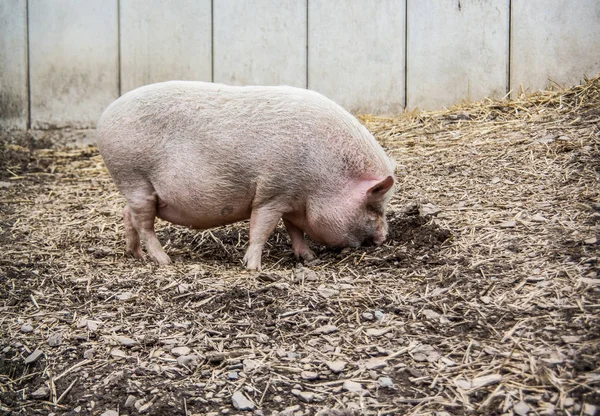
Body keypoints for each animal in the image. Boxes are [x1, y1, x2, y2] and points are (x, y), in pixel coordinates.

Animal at [96, 81, 396, 270]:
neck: (325, 175)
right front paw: (253, 268)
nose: (384, 238)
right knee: (144, 224)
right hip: (133, 176)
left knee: (128, 214)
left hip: (137, 188)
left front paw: (309, 259)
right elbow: (261, 228)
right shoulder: (273, 191)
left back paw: (135, 255)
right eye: (374, 208)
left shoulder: (292, 199)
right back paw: (164, 260)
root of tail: (106, 115)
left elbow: (294, 230)